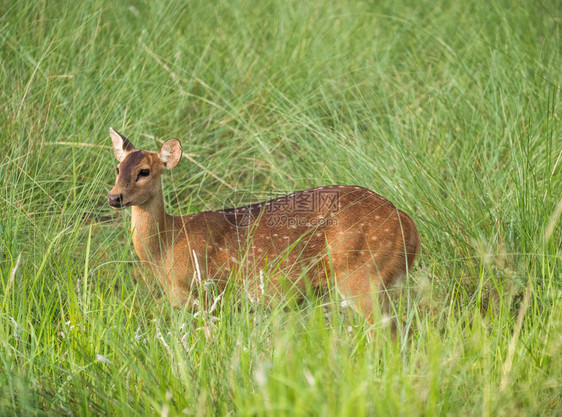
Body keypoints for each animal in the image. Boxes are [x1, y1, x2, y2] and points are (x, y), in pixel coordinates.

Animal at [107, 127, 418, 334]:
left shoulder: (208, 293)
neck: (168, 246)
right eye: (118, 168)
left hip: (362, 275)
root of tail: (408, 225)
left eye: (144, 171)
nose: (114, 197)